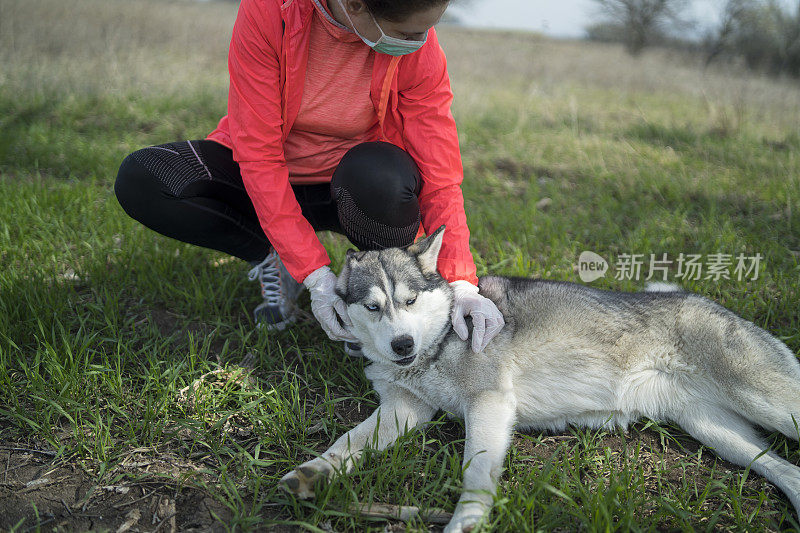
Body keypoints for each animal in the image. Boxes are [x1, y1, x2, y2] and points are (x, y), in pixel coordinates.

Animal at [280, 227, 800, 528]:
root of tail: (703, 299)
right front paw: (311, 474)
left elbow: (475, 474)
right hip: (717, 431)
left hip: (769, 404)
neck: (438, 341)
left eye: (409, 301)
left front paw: (466, 522)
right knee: (788, 470)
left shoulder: (489, 404)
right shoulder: (402, 409)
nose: (402, 346)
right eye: (373, 307)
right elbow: (346, 444)